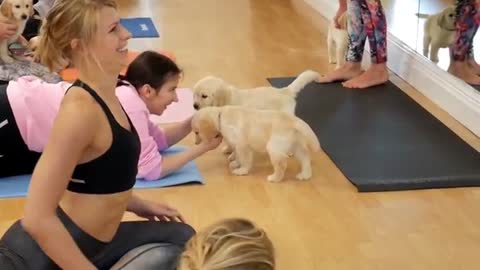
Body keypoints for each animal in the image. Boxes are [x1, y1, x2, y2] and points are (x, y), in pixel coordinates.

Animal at [189, 105, 320, 181]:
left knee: (282, 163)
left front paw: (242, 170)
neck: (220, 116)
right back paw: (305, 175)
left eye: (196, 132)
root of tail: (294, 121)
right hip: (295, 145)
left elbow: (244, 159)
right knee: (305, 157)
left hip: (274, 147)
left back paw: (274, 178)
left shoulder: (242, 145)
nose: (196, 143)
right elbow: (237, 155)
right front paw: (235, 162)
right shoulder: (236, 144)